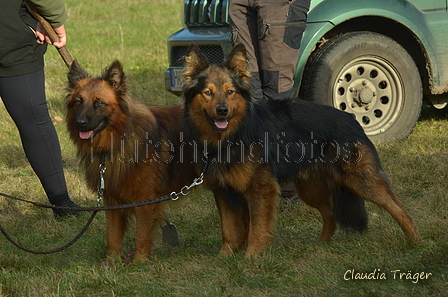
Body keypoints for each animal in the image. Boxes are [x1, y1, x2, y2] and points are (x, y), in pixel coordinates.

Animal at [65, 60, 195, 262]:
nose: (80, 123)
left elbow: (142, 234)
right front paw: (111, 261)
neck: (119, 139)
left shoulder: (144, 201)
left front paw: (139, 261)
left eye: (99, 103)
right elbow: (112, 235)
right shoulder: (111, 200)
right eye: (79, 101)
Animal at [181, 44, 420, 256]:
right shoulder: (224, 192)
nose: (222, 111)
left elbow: (257, 229)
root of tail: (351, 118)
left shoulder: (260, 190)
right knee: (331, 214)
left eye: (230, 92)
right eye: (208, 93)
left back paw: (415, 242)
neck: (232, 136)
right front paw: (225, 258)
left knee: (398, 208)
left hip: (360, 180)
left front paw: (251, 258)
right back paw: (320, 246)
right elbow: (229, 231)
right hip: (310, 188)